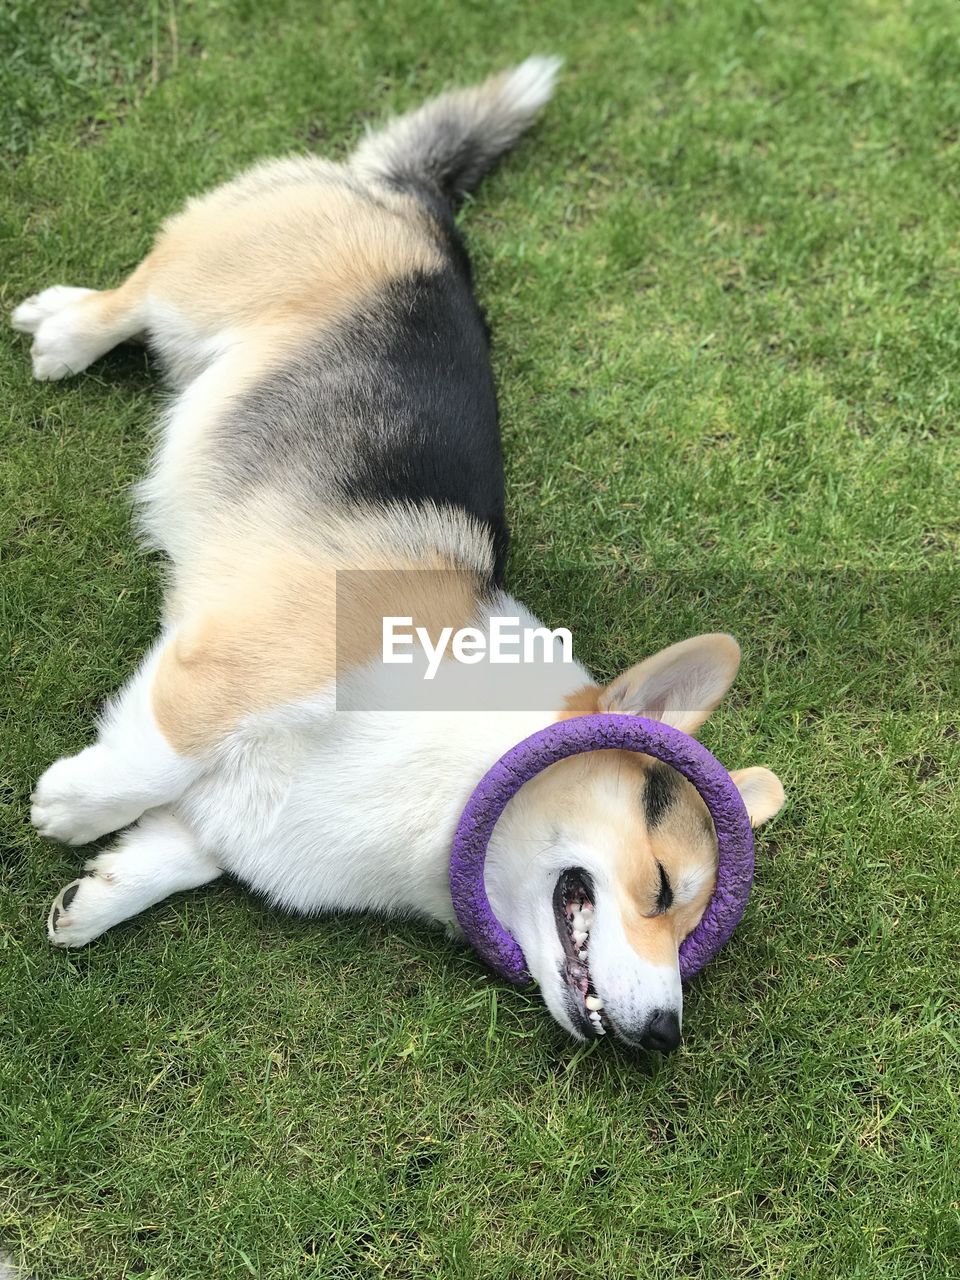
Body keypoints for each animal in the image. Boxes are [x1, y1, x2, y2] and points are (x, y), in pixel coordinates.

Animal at [11, 55, 783, 1044]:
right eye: (659, 887)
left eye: (691, 931)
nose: (662, 1038)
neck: (452, 779)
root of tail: (418, 203)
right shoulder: (249, 652)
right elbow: (157, 751)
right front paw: (71, 803)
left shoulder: (229, 817)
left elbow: (176, 850)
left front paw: (95, 898)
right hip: (208, 283)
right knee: (138, 292)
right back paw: (62, 327)